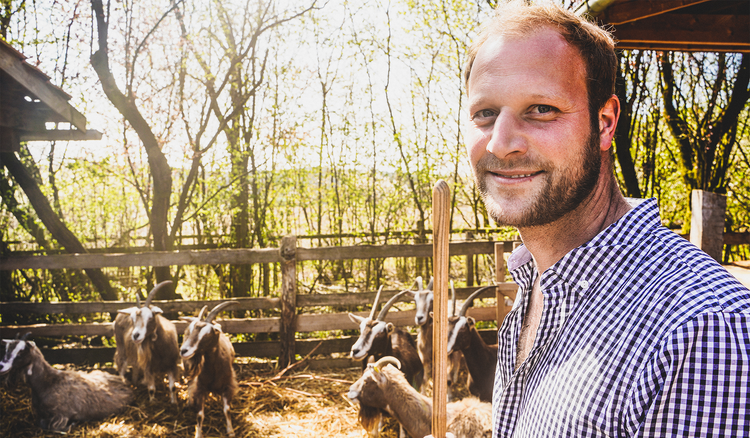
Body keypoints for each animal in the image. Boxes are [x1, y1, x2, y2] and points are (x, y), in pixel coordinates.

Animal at [0, 336, 134, 432]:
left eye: (21, 352)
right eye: (6, 350)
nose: (1, 365)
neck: (47, 382)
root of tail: (124, 382)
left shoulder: (61, 415)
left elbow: (50, 426)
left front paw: (73, 424)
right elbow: (41, 423)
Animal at [179, 302, 238, 438]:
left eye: (208, 333)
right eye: (193, 330)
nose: (183, 350)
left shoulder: (228, 385)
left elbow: (227, 409)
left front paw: (231, 431)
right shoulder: (200, 387)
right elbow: (200, 415)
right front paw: (198, 434)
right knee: (189, 384)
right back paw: (189, 403)